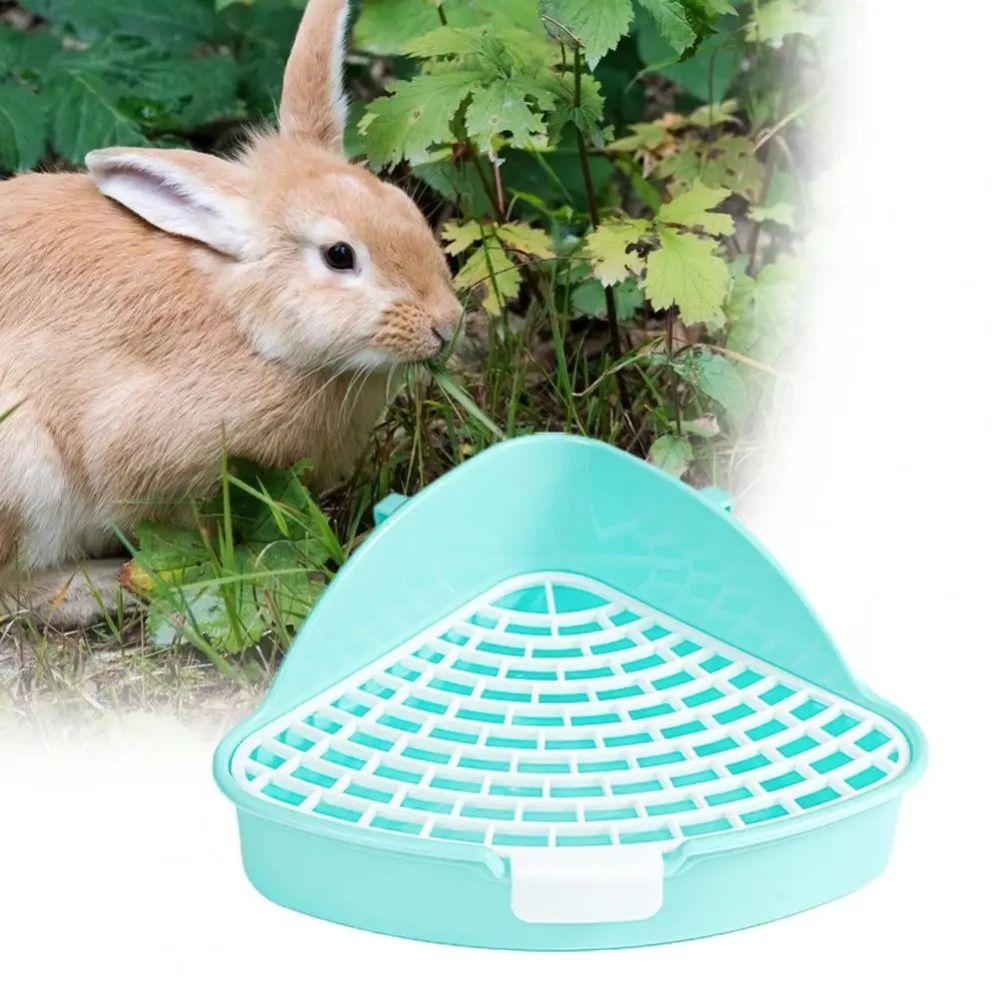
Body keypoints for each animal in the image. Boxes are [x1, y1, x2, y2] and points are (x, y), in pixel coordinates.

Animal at [0, 0, 462, 626]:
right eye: (339, 256)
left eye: (405, 208)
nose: (446, 324)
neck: (252, 330)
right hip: (25, 472)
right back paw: (102, 587)